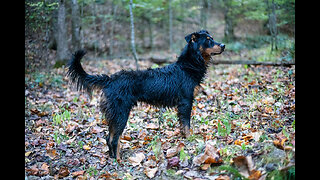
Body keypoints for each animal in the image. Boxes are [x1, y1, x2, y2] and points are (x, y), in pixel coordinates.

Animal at [67, 29, 225, 160]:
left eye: (212, 38)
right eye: (208, 40)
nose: (223, 45)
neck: (188, 66)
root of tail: (110, 79)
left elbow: (182, 124)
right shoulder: (186, 101)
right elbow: (186, 124)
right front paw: (189, 138)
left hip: (115, 113)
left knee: (108, 137)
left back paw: (113, 157)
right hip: (121, 112)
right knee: (114, 139)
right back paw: (118, 160)